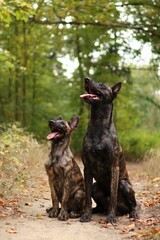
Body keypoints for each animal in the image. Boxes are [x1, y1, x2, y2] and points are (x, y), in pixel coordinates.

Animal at [79, 78, 138, 224]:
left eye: (101, 85)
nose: (86, 79)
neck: (98, 123)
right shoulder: (87, 168)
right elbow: (87, 197)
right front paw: (86, 214)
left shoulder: (114, 167)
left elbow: (113, 196)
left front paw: (111, 217)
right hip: (96, 187)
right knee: (99, 205)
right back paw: (96, 211)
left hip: (125, 184)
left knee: (133, 204)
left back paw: (132, 213)